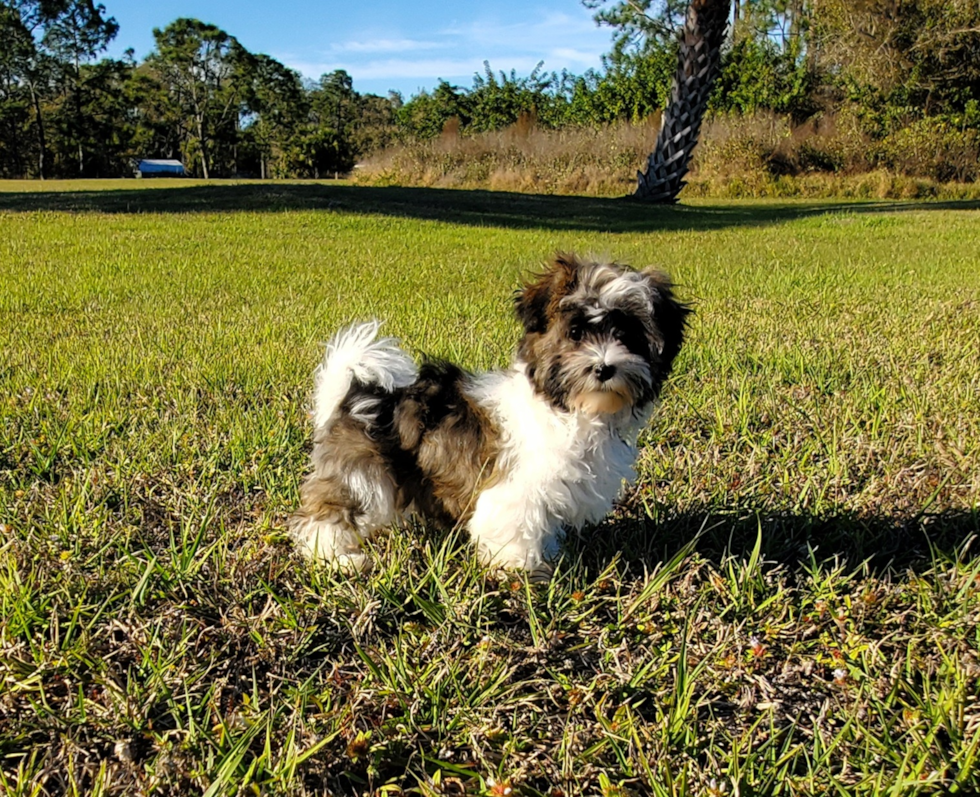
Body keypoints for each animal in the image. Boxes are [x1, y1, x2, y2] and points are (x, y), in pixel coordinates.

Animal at [290, 252, 688, 576]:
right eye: (575, 332)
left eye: (628, 335)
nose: (604, 368)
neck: (569, 410)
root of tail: (356, 392)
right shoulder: (514, 490)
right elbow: (515, 528)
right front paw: (522, 572)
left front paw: (546, 556)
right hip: (361, 476)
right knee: (326, 516)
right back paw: (339, 559)